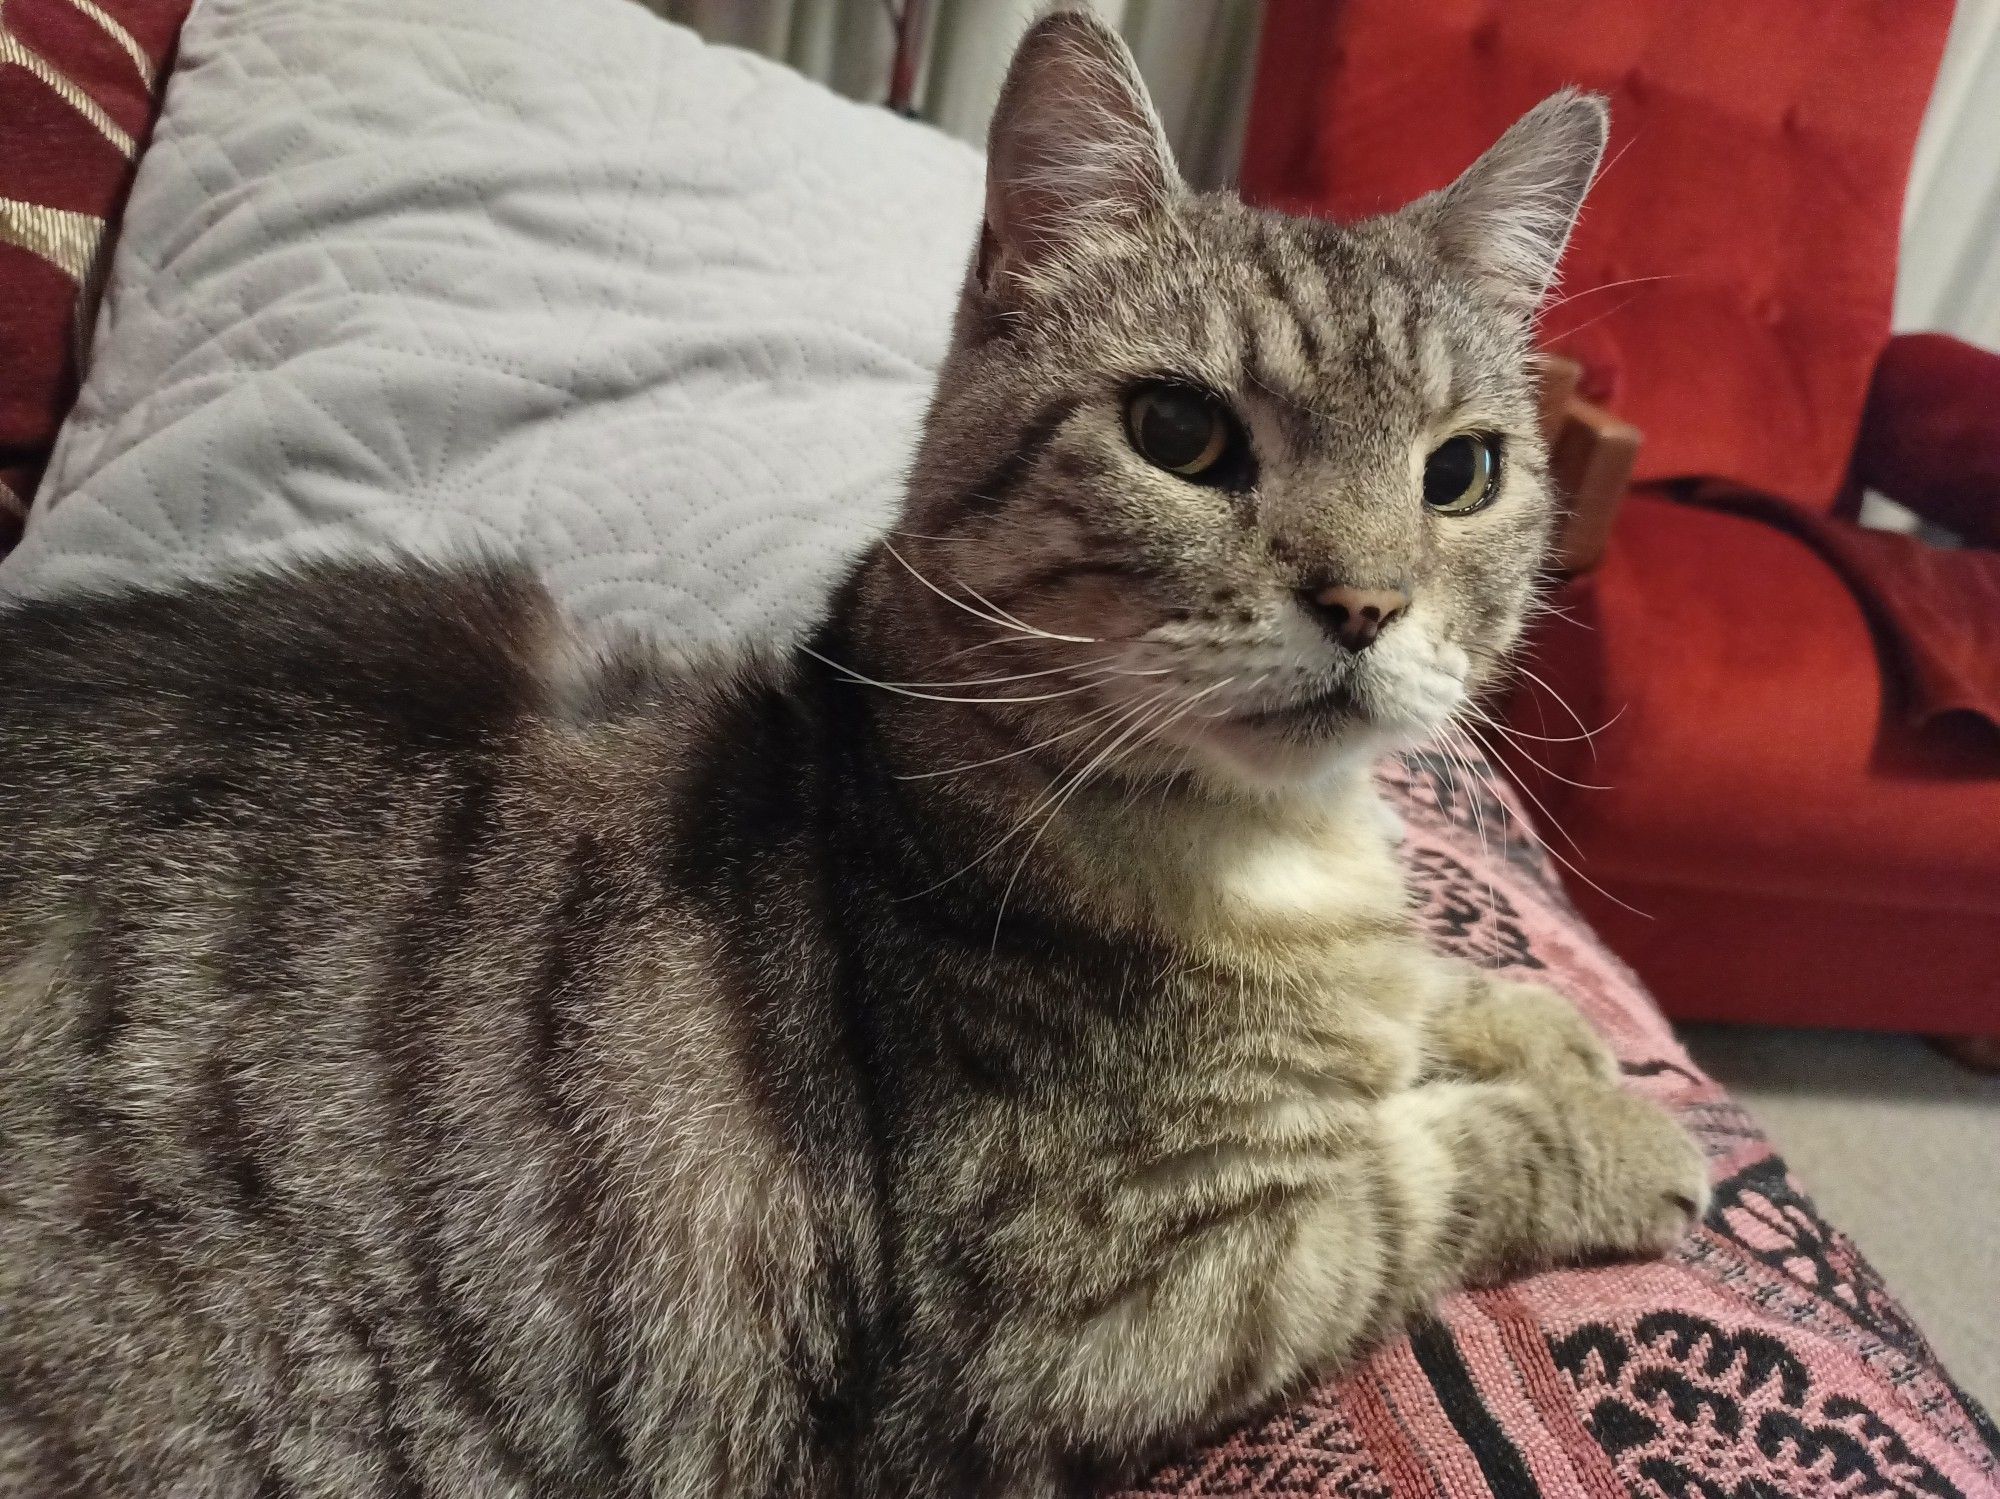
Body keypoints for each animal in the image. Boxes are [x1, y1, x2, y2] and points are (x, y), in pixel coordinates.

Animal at [0, 11, 1712, 1499]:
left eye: (1463, 471)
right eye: (1180, 432)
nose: (1364, 602)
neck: (1280, 850)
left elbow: (1434, 1003)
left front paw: (1541, 1025)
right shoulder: (1128, 1296)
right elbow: (1431, 1167)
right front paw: (1630, 1129)